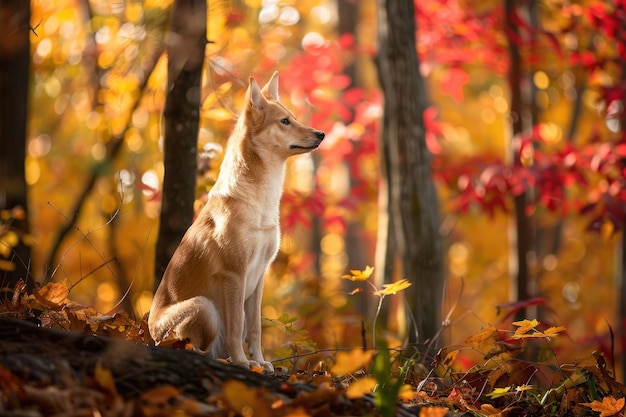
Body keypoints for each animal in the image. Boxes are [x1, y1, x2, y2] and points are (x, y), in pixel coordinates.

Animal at [149, 71, 324, 370]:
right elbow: (236, 326)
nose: (321, 134)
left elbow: (253, 327)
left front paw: (261, 362)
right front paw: (243, 363)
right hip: (204, 308)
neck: (260, 200)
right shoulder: (234, 274)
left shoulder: (260, 274)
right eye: (284, 121)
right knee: (193, 348)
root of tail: (147, 335)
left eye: (293, 116)